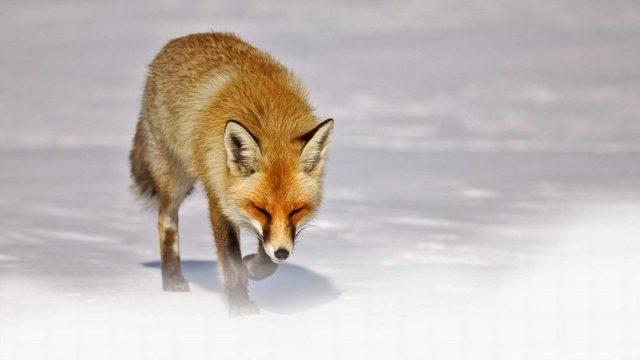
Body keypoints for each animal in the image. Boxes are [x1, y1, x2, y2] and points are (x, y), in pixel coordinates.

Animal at [127, 32, 332, 316]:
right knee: (166, 222)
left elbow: (266, 260)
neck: (270, 120)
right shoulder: (220, 198)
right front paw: (240, 306)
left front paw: (254, 267)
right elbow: (231, 262)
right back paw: (173, 280)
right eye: (261, 209)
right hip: (175, 179)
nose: (282, 253)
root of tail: (183, 38)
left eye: (295, 210)